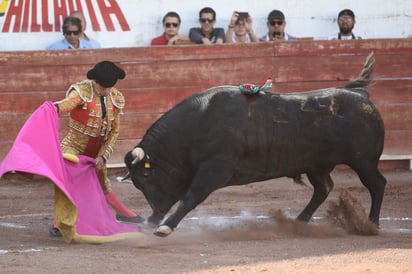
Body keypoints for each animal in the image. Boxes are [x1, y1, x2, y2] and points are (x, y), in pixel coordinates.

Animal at [124, 54, 386, 237]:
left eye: (145, 177)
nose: (155, 214)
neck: (195, 127)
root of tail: (360, 95)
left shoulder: (215, 169)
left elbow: (191, 196)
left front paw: (165, 227)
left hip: (363, 160)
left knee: (377, 184)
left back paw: (371, 224)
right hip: (317, 164)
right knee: (324, 189)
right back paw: (298, 222)